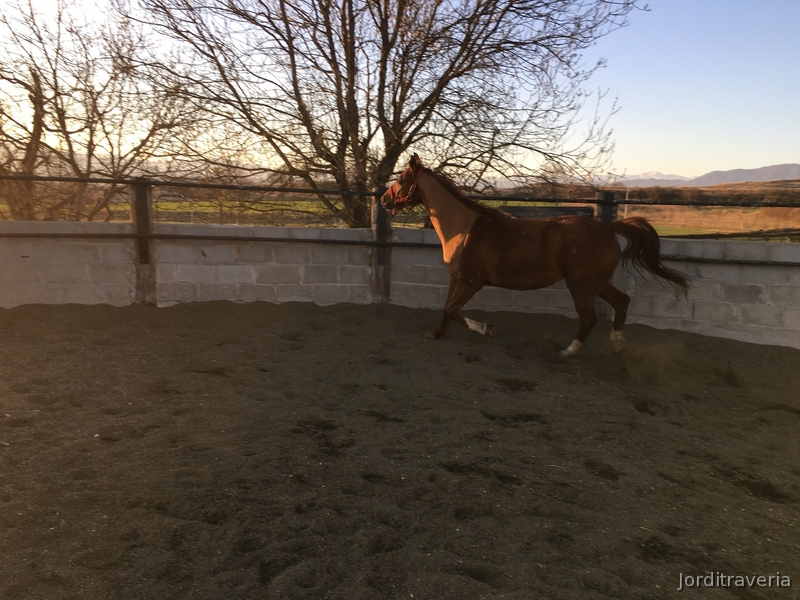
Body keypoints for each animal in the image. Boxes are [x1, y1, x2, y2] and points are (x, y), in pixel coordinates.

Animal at [381, 153, 690, 357]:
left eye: (402, 179)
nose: (383, 199)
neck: (464, 229)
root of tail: (608, 228)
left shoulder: (471, 282)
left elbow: (452, 310)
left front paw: (485, 328)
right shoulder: (455, 279)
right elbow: (446, 309)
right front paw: (436, 333)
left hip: (581, 286)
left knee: (590, 318)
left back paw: (567, 352)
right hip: (596, 283)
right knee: (622, 302)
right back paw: (617, 345)